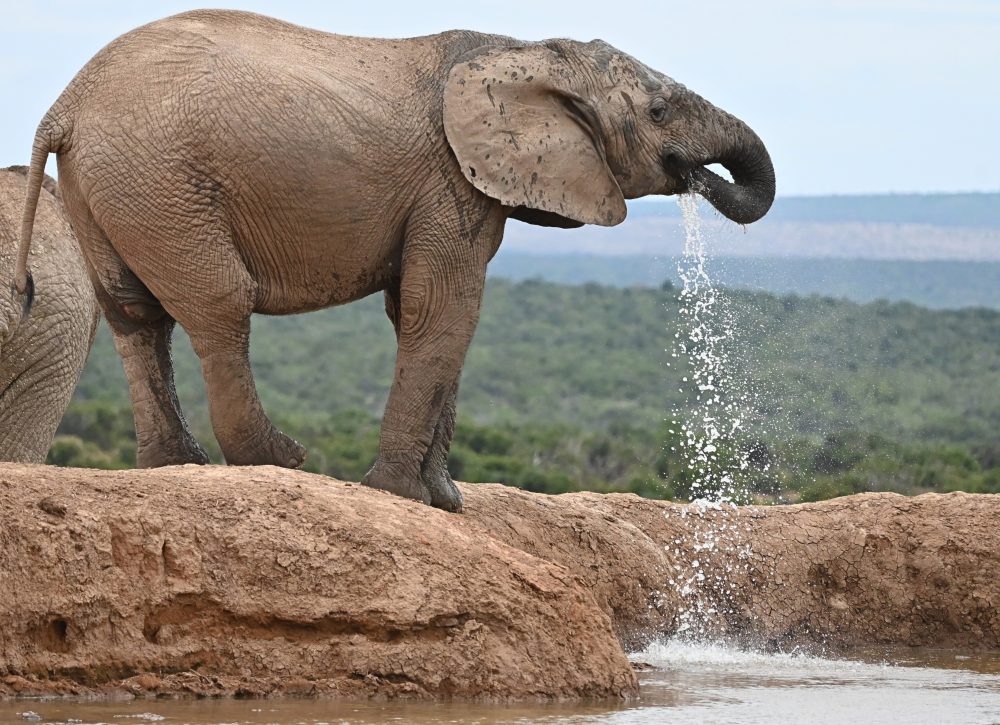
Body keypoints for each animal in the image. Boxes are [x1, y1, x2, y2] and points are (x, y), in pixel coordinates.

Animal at [13, 10, 774, 510]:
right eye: (659, 110)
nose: (700, 178)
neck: (521, 49)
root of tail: (63, 106)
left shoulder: (463, 187)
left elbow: (420, 313)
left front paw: (446, 501)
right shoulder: (450, 182)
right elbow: (445, 308)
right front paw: (407, 497)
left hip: (109, 187)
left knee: (134, 315)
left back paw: (179, 466)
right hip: (161, 180)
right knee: (220, 304)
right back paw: (280, 460)